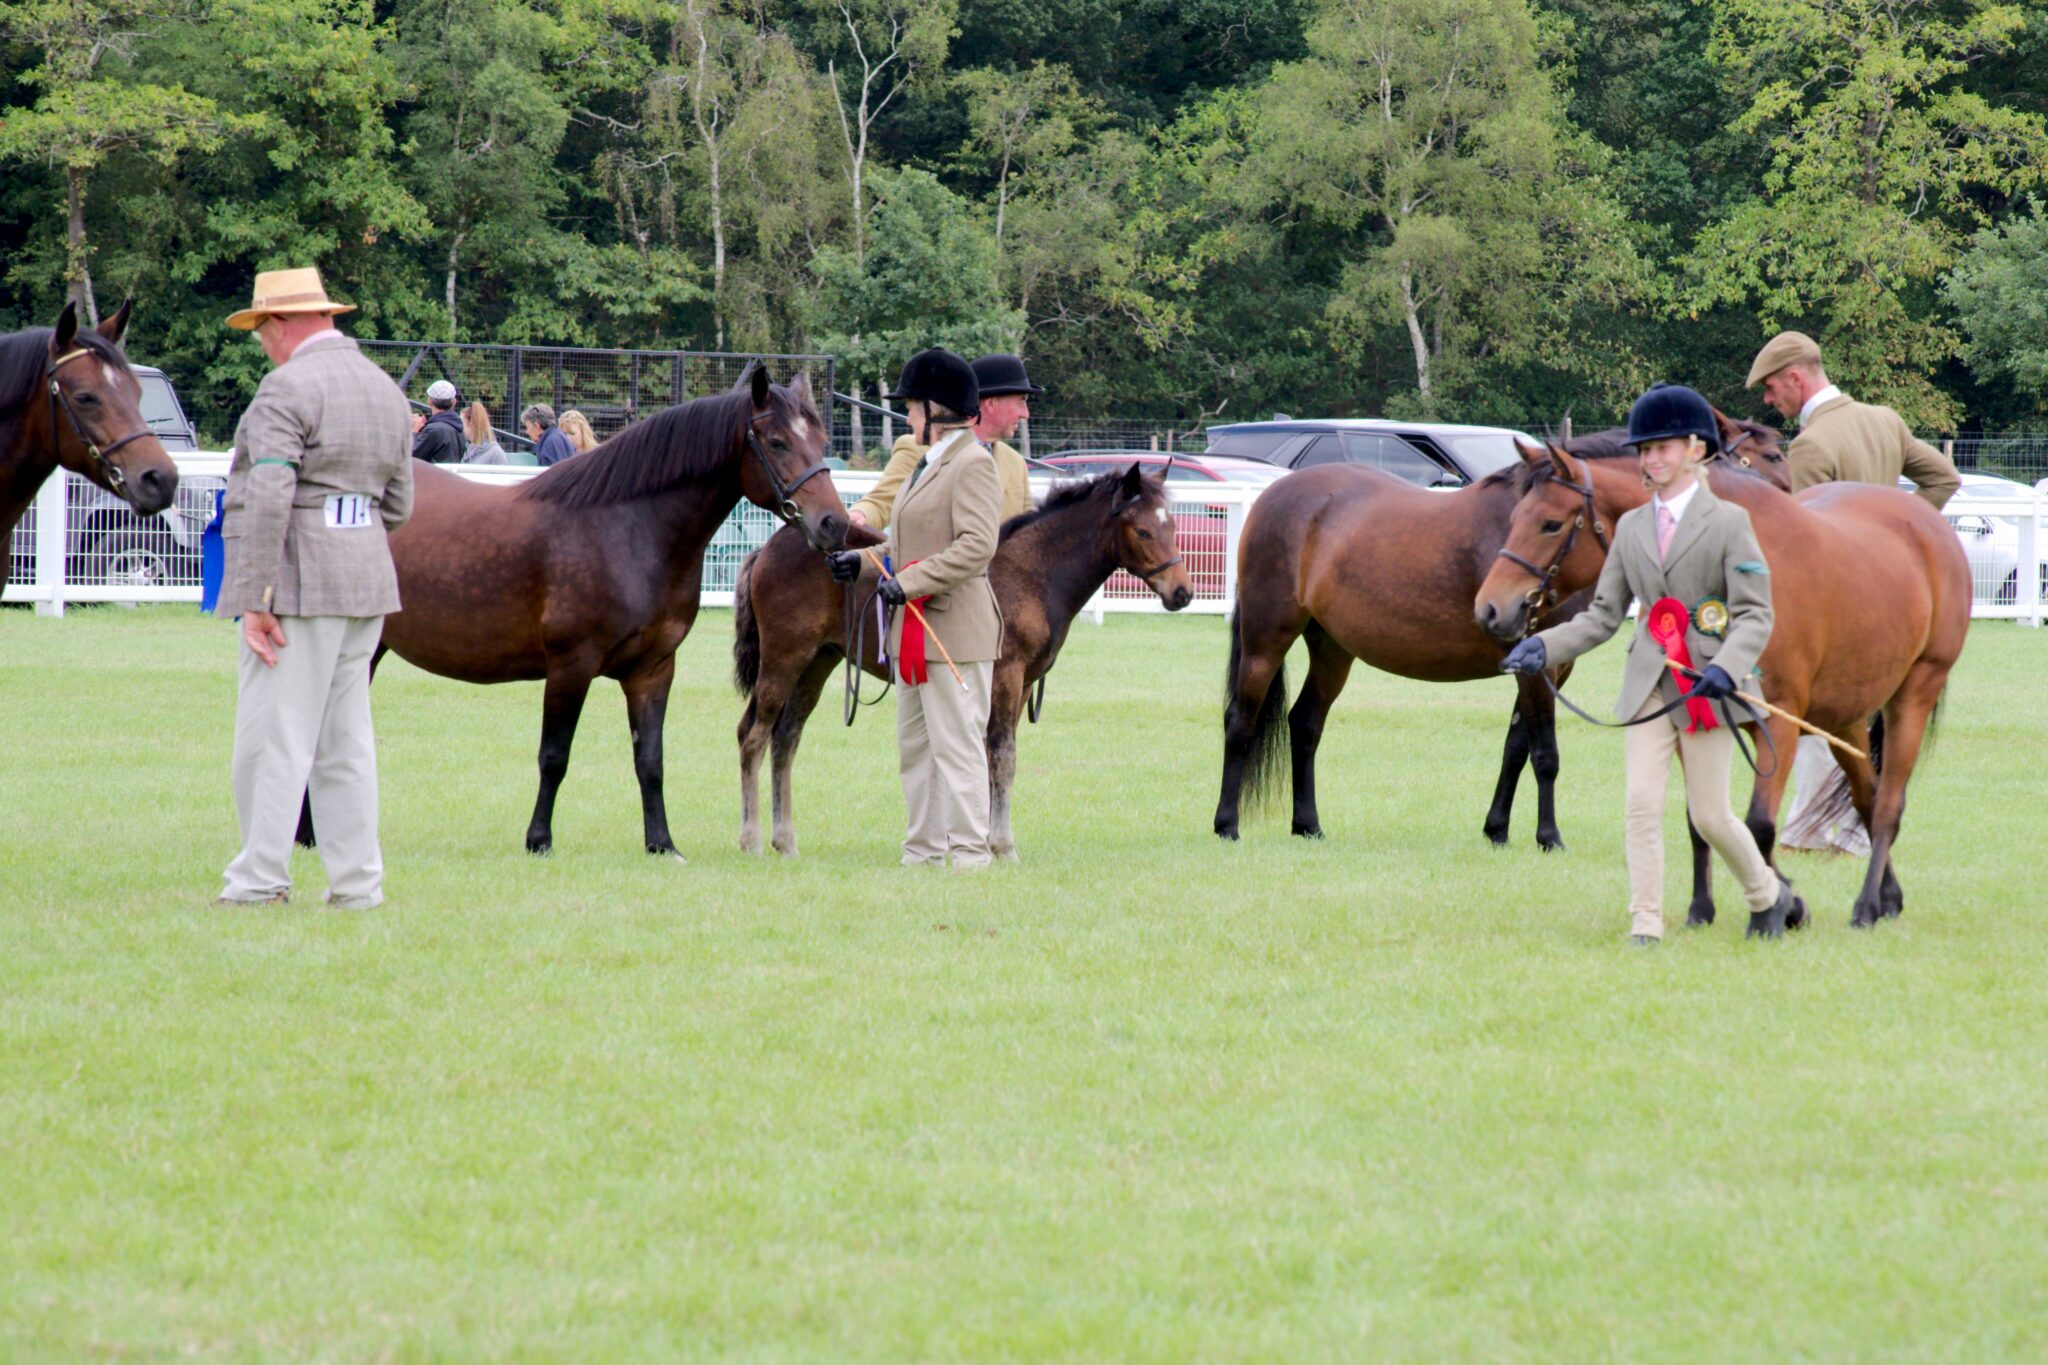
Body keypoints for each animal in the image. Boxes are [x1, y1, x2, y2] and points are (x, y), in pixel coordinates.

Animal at [737, 464, 1196, 859]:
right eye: (1142, 529)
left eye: (1171, 525)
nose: (1182, 592)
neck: (1031, 573)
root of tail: (766, 549)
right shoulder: (1005, 676)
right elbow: (1003, 754)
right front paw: (1002, 846)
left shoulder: (1020, 684)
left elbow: (989, 753)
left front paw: (979, 839)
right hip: (784, 661)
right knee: (753, 735)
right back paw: (753, 839)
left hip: (818, 664)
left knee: (786, 738)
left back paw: (785, 841)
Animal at [1482, 439, 1974, 929]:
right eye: (1514, 516)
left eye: (1550, 523)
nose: (1490, 609)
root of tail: (1931, 524)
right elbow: (1700, 820)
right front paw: (1708, 909)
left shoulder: (1780, 724)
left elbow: (1758, 825)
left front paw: (1774, 911)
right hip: (1845, 716)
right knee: (1866, 798)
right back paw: (1889, 898)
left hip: (1913, 695)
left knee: (1888, 805)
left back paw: (1867, 905)